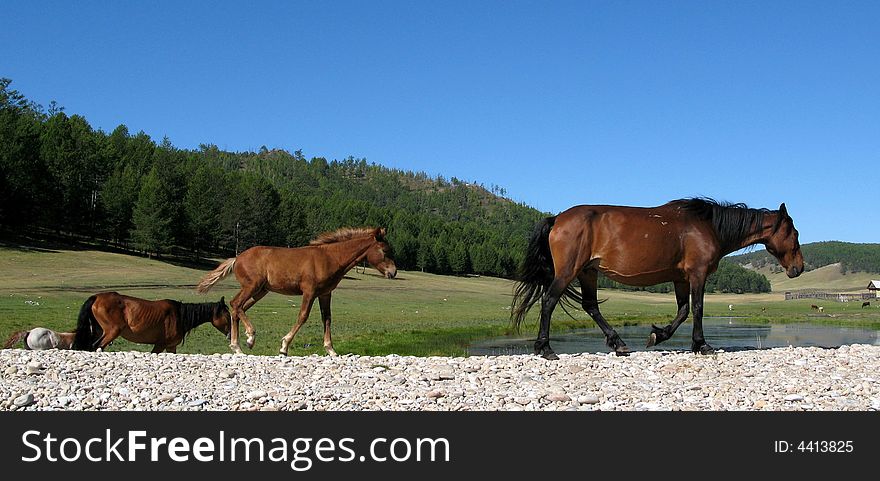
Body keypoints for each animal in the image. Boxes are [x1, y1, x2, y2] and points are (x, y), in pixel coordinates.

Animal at [72, 288, 230, 352]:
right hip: (111, 332)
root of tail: (96, 297)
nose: (230, 334)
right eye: (227, 316)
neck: (179, 315)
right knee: (96, 346)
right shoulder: (160, 345)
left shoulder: (171, 347)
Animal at [198, 227, 398, 354]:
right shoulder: (309, 292)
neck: (330, 258)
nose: (393, 272)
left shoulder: (325, 294)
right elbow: (303, 316)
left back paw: (239, 346)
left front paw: (331, 349)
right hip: (251, 286)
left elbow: (327, 318)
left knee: (238, 309)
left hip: (261, 291)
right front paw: (284, 346)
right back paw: (249, 338)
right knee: (236, 304)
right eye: (385, 250)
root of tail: (237, 258)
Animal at [508, 197, 804, 358]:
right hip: (569, 272)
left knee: (590, 306)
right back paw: (545, 349)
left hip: (588, 272)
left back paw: (619, 344)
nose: (798, 268)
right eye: (795, 233)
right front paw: (702, 345)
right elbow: (697, 308)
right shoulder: (697, 274)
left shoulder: (681, 279)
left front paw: (657, 335)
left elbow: (683, 311)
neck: (707, 226)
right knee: (548, 302)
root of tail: (557, 219)